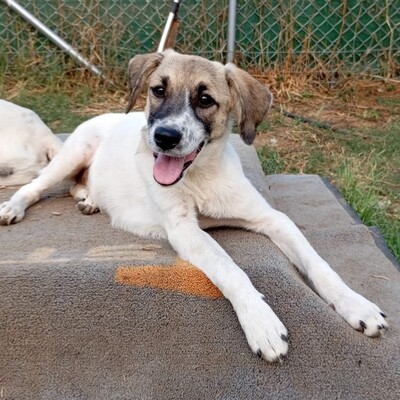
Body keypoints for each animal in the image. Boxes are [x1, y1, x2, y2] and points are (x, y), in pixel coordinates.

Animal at [0, 50, 388, 362]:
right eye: (158, 90)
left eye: (205, 99)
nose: (164, 138)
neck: (199, 177)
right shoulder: (184, 229)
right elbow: (231, 269)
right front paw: (261, 321)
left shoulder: (272, 217)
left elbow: (319, 264)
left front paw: (357, 304)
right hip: (72, 154)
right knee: (35, 186)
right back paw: (13, 207)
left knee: (76, 184)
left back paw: (89, 198)